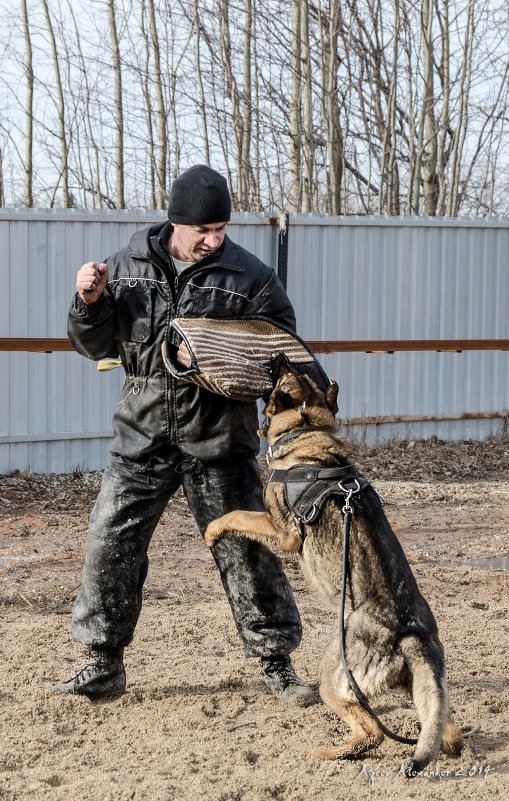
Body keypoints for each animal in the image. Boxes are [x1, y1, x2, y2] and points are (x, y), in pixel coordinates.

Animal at [204, 354, 462, 768]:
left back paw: (329, 753)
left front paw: (213, 530)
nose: (278, 356)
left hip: (331, 677)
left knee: (372, 732)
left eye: (286, 372)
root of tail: (409, 633)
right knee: (445, 735)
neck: (305, 430)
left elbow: (236, 515)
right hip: (422, 692)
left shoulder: (282, 532)